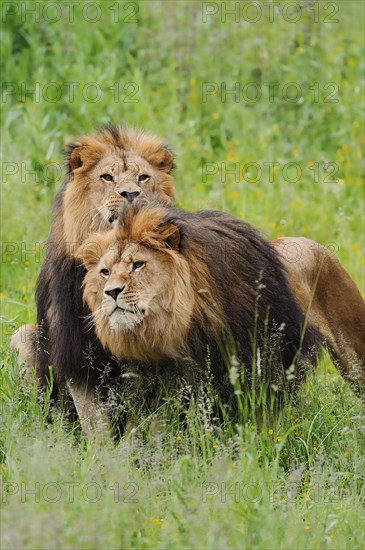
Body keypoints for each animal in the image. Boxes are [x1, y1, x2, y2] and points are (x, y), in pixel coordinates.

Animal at [10, 125, 176, 404]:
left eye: (143, 178)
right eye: (107, 177)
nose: (131, 193)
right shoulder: (76, 351)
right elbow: (92, 413)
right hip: (23, 335)